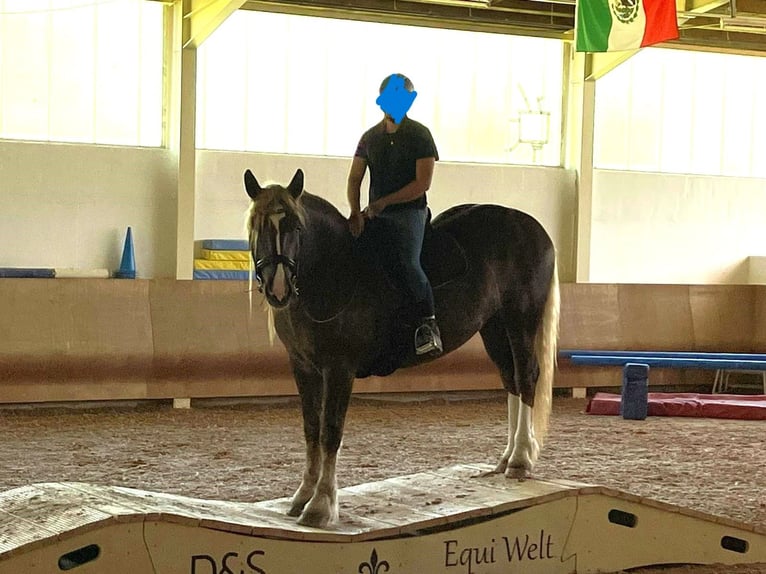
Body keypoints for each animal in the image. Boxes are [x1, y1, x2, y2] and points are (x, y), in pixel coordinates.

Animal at [248, 168, 564, 532]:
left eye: (296, 228)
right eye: (256, 226)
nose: (278, 288)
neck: (337, 268)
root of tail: (532, 227)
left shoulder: (339, 369)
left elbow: (330, 432)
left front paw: (321, 505)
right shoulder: (302, 367)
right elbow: (311, 430)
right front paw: (303, 496)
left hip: (520, 319)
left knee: (526, 378)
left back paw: (521, 459)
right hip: (494, 327)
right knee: (511, 379)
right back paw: (507, 458)